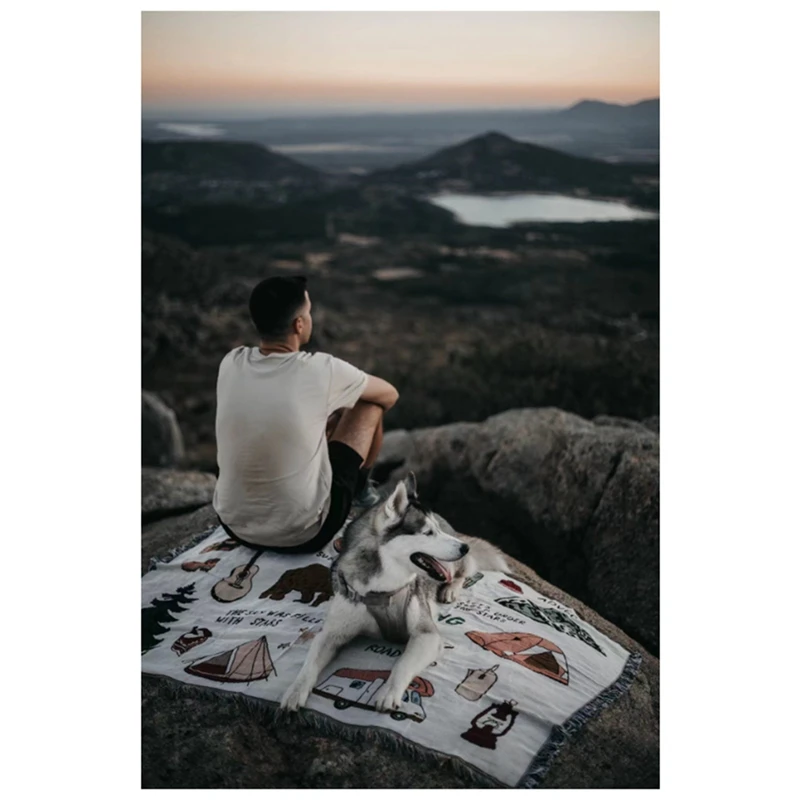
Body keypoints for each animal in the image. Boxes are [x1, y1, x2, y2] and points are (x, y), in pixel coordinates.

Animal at [282, 468, 506, 712]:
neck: (382, 588)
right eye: (427, 533)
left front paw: (389, 692)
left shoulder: (426, 634)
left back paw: (451, 589)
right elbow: (310, 662)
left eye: (434, 530)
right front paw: (295, 691)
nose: (464, 548)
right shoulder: (333, 632)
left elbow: (403, 663)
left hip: (452, 564)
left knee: (465, 572)